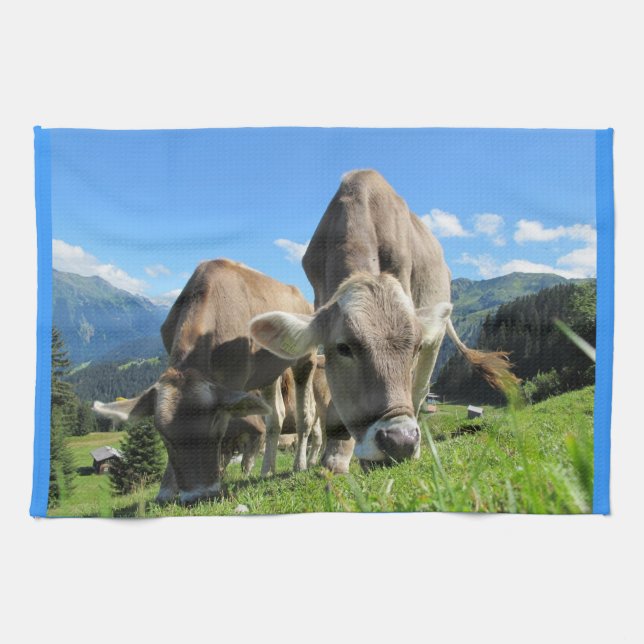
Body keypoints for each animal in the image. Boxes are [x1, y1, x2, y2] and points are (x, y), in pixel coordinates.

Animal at [93, 259, 317, 504]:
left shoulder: (233, 384)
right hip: (269, 372)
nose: (197, 496)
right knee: (275, 416)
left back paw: (300, 464)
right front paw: (166, 489)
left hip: (306, 358)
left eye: (217, 427)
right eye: (164, 436)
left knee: (306, 414)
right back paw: (267, 469)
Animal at [250, 170, 517, 472]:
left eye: (414, 346)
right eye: (343, 347)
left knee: (420, 389)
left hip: (435, 340)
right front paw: (336, 455)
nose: (400, 441)